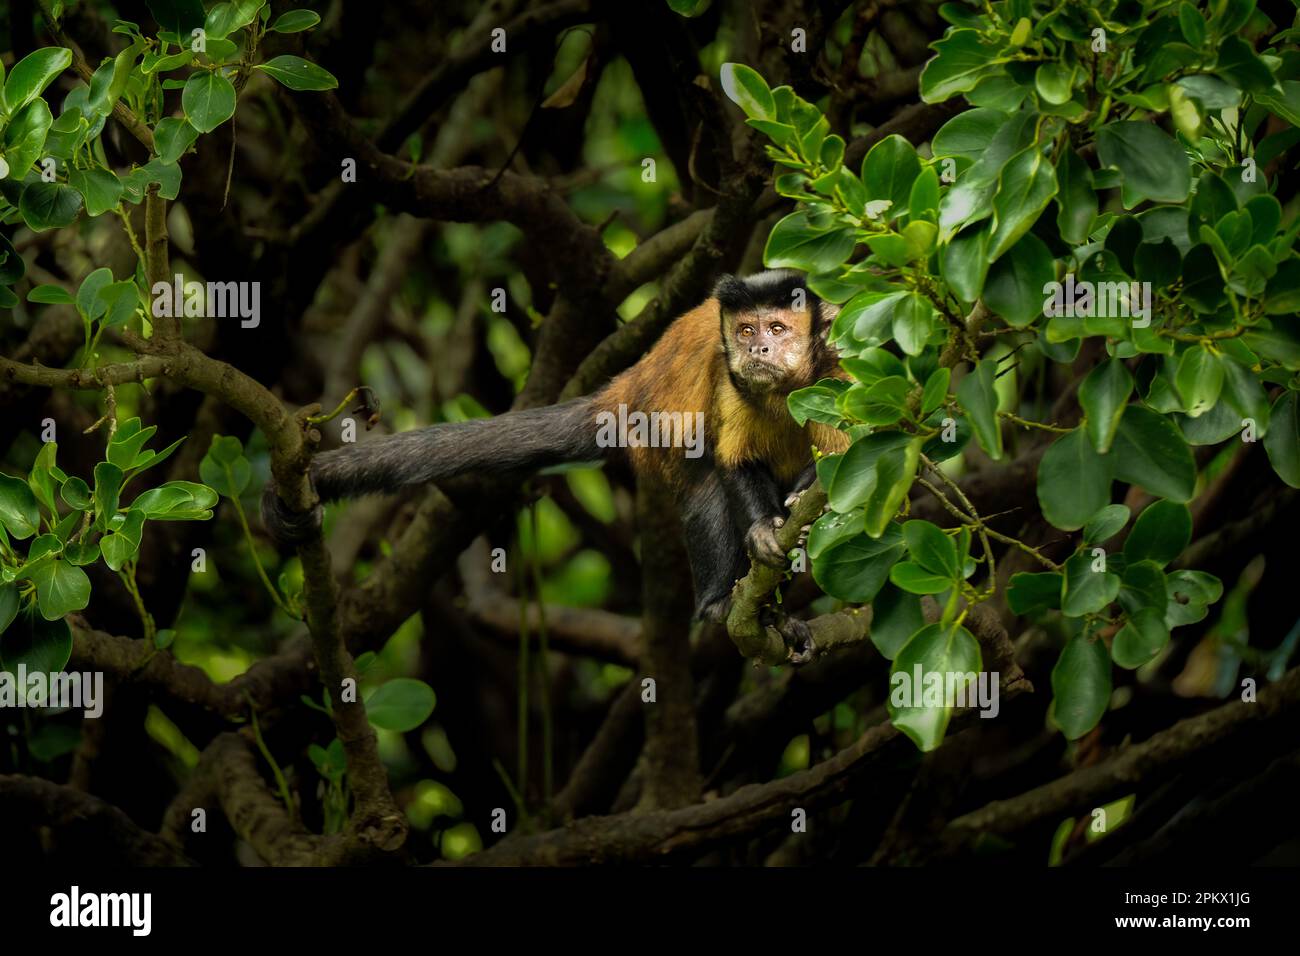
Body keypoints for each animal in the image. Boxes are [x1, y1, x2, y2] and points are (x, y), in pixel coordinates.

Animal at [263, 269, 852, 658]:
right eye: (748, 331)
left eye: (777, 330)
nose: (757, 352)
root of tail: (632, 381)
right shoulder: (731, 380)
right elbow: (734, 465)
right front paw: (764, 533)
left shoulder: (840, 370)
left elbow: (846, 469)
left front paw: (798, 508)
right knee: (704, 478)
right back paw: (721, 605)